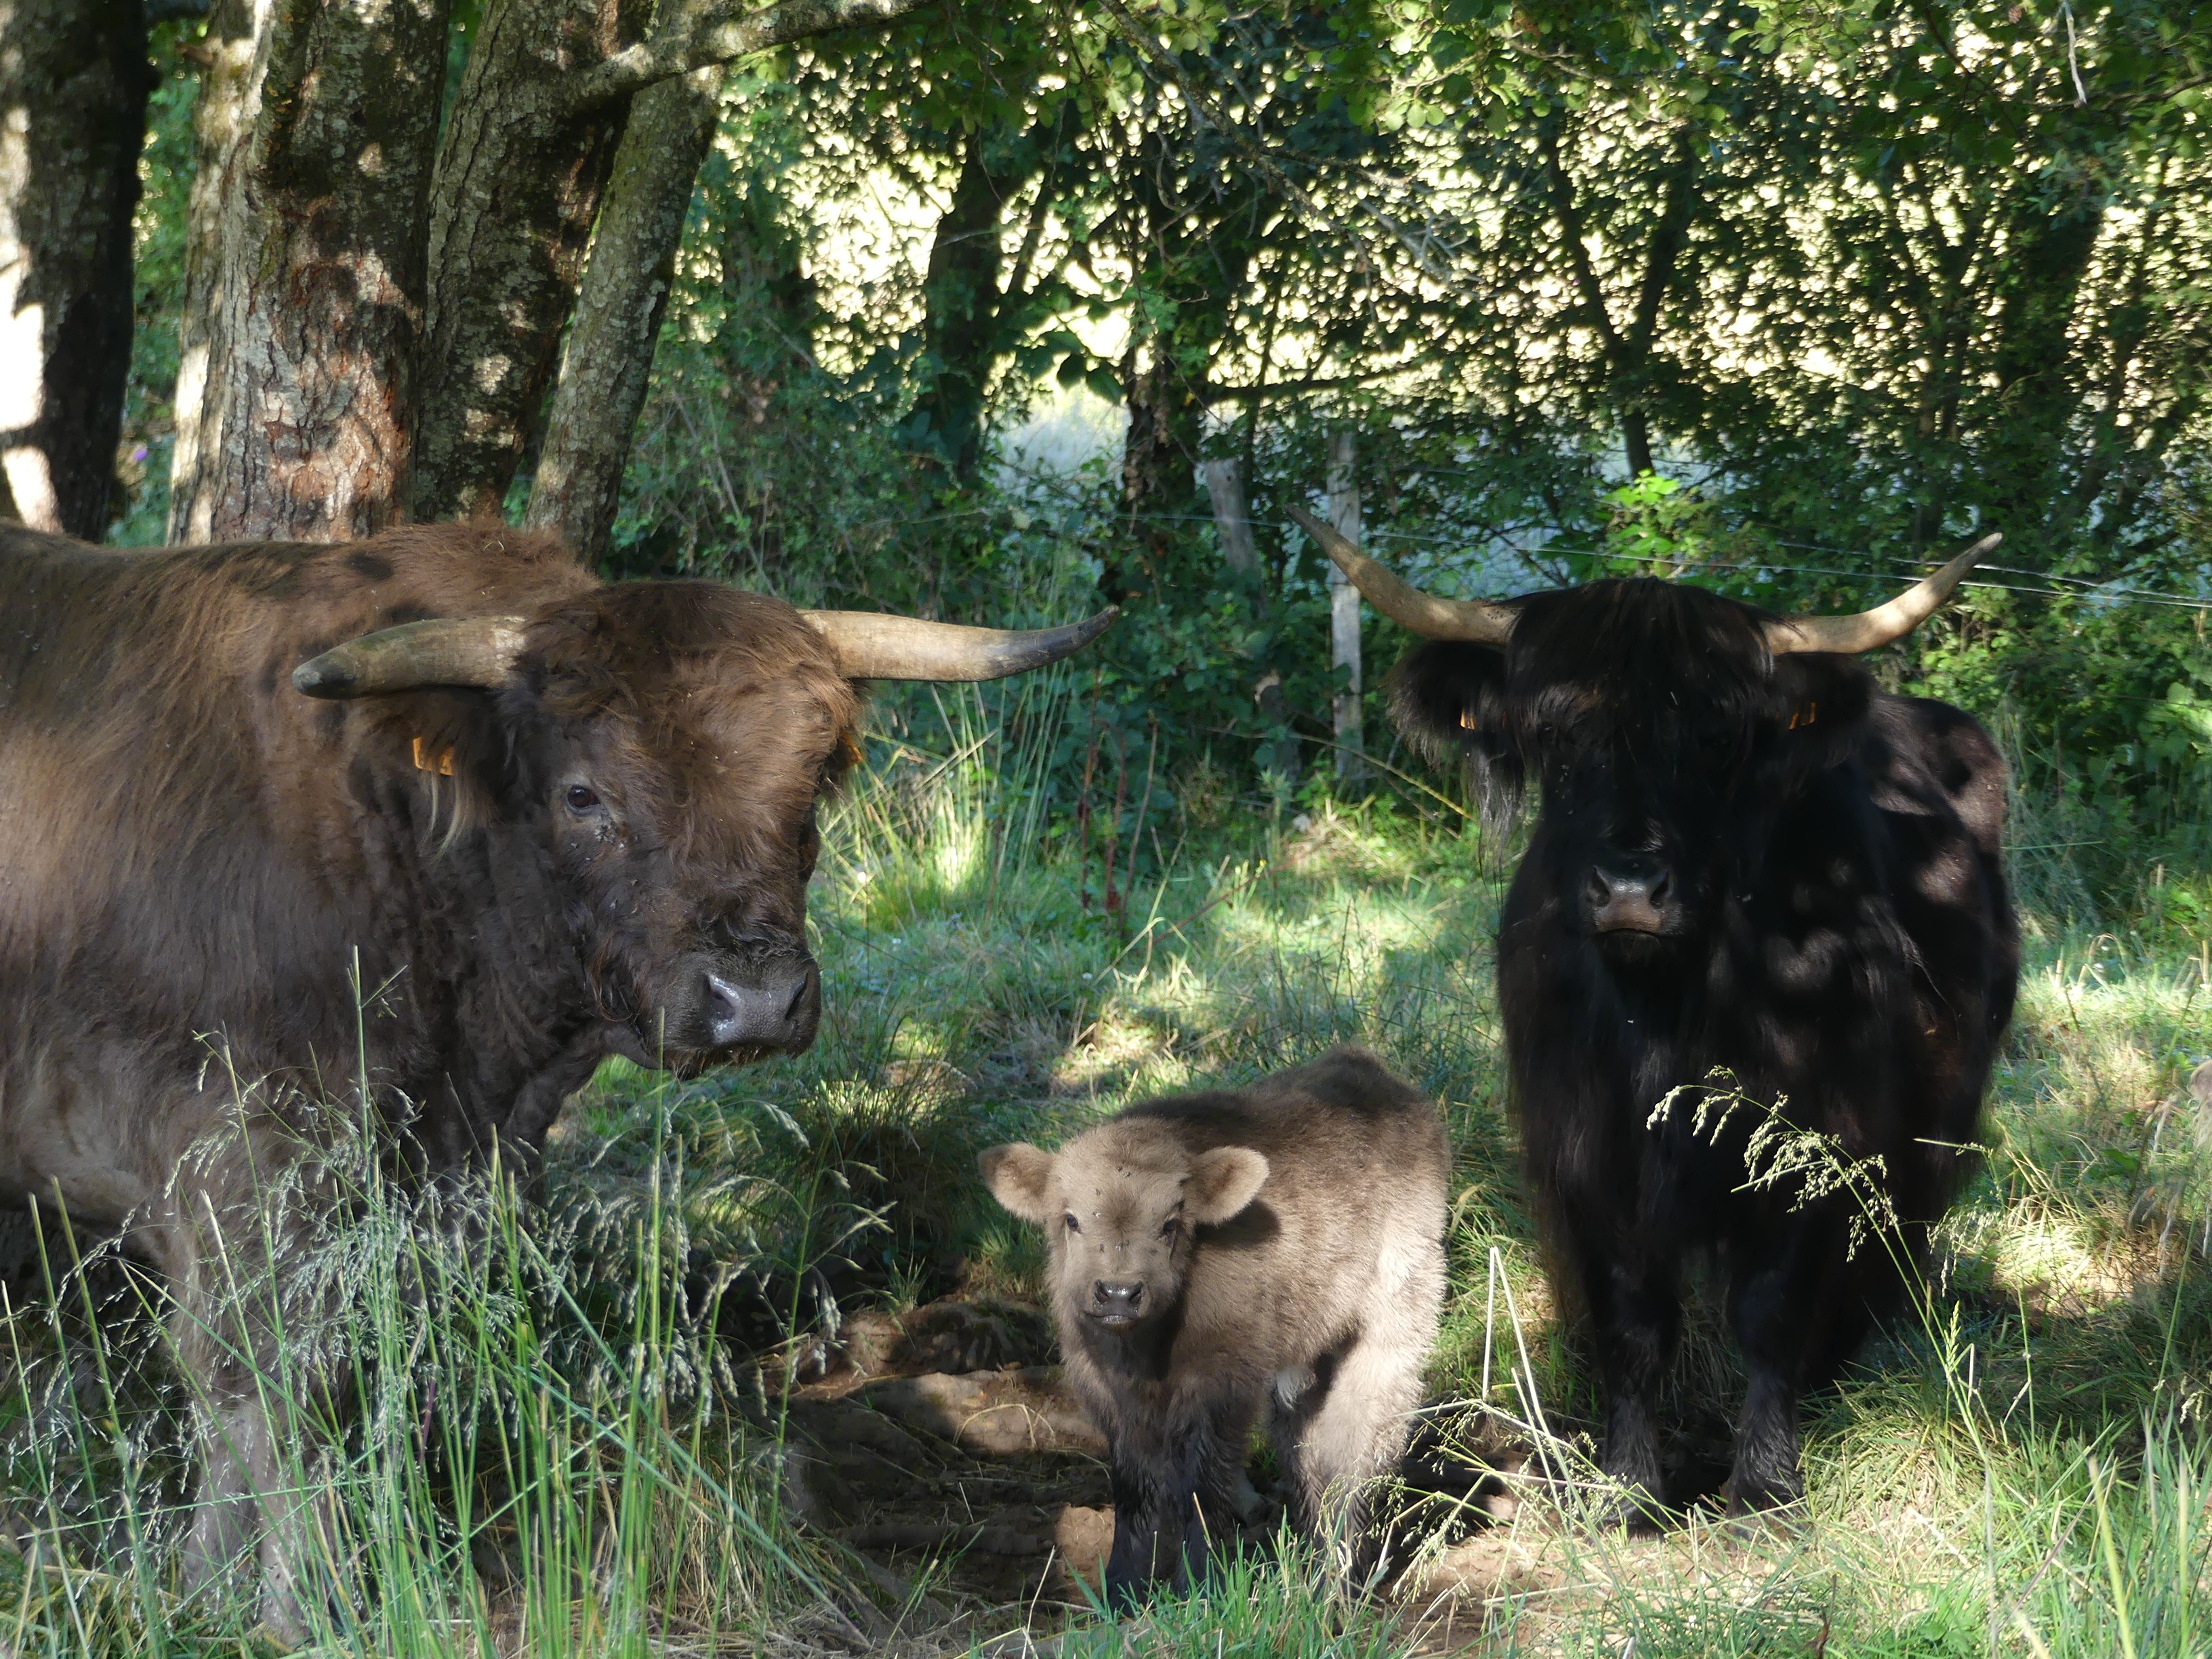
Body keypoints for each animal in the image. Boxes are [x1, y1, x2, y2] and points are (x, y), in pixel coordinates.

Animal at [986, 1052, 1451, 1610]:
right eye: (1071, 1219)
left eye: (1171, 1223)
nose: (1119, 1293)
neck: (1145, 1353)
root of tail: (1367, 1069)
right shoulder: (1106, 1390)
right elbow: (1136, 1486)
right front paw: (1121, 1592)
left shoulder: (1221, 1385)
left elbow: (1203, 1487)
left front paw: (1196, 1591)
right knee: (1306, 1453)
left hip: (1394, 1327)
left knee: (1353, 1457)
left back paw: (1336, 1586)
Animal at [1292, 510, 2017, 1530]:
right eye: (1553, 733)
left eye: (1716, 735)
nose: (1631, 887)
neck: (1666, 1009)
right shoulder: (1589, 1154)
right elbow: (1632, 1321)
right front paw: (1628, 1489)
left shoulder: (1816, 1144)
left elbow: (1773, 1310)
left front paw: (1764, 1489)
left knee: (1889, 1256)